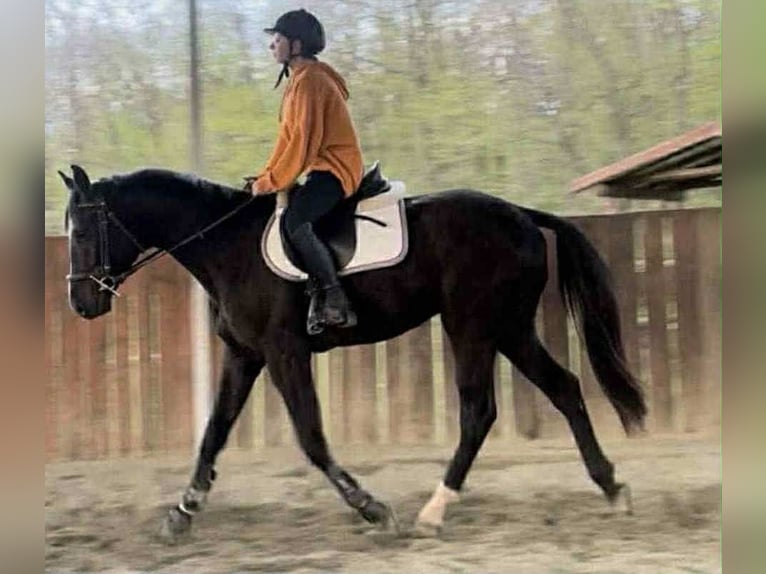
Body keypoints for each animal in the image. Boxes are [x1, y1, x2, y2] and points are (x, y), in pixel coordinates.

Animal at [58, 164, 646, 540]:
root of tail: (521, 215)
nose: (81, 303)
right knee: (565, 389)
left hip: (472, 326)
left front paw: (372, 509)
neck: (227, 246)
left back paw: (433, 512)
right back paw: (612, 487)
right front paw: (183, 511)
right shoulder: (244, 356)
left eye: (83, 231)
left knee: (479, 411)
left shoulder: (284, 353)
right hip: (510, 328)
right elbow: (214, 433)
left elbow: (311, 437)